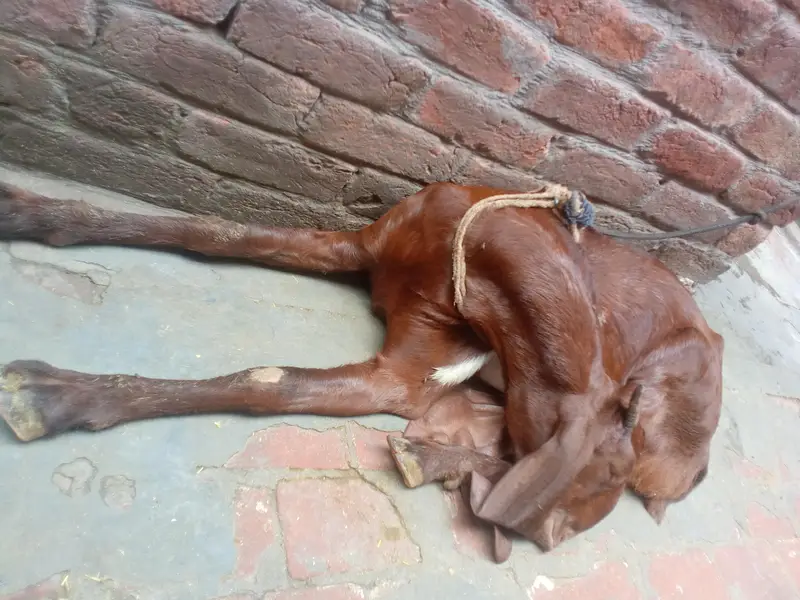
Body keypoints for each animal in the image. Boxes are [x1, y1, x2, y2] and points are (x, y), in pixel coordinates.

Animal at [0, 180, 722, 562]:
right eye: (594, 485)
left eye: (581, 508)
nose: (545, 537)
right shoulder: (359, 244)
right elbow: (214, 232)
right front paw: (39, 214)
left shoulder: (398, 377)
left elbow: (271, 382)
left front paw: (63, 393)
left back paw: (426, 459)